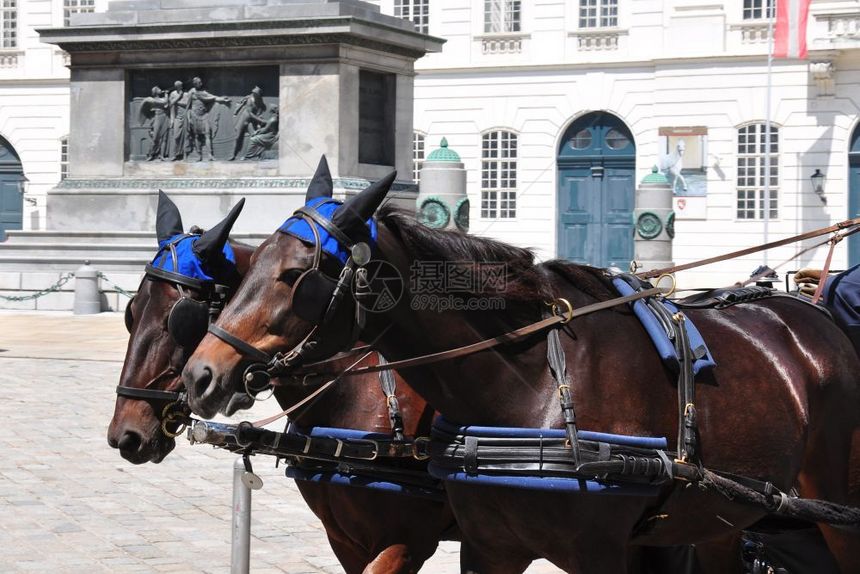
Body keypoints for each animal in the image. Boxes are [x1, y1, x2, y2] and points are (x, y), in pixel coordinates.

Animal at [185, 176, 860, 574]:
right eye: (249, 268)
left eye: (296, 274)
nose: (200, 376)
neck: (530, 387)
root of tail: (811, 317)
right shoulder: (486, 548)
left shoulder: (595, 553)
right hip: (718, 516)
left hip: (836, 506)